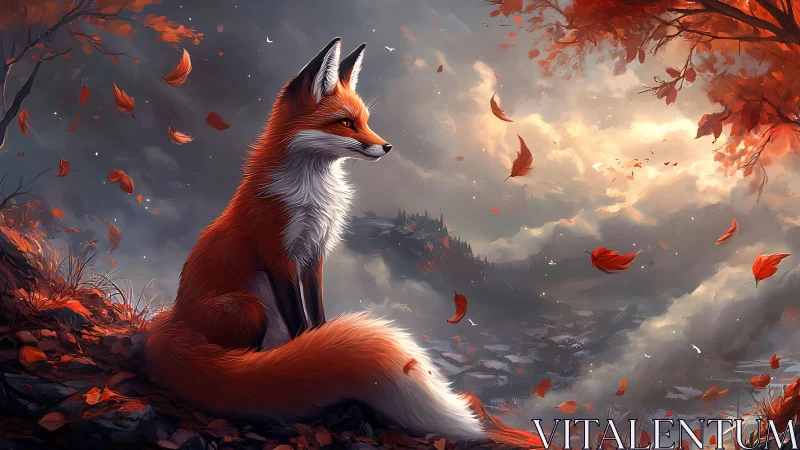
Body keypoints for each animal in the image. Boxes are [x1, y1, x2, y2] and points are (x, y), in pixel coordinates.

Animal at [144, 38, 485, 440]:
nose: (387, 147)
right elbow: (299, 320)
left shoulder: (314, 256)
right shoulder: (280, 256)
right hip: (247, 308)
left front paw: (321, 345)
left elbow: (317, 316)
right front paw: (302, 358)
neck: (313, 196)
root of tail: (173, 320)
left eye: (365, 121)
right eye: (345, 122)